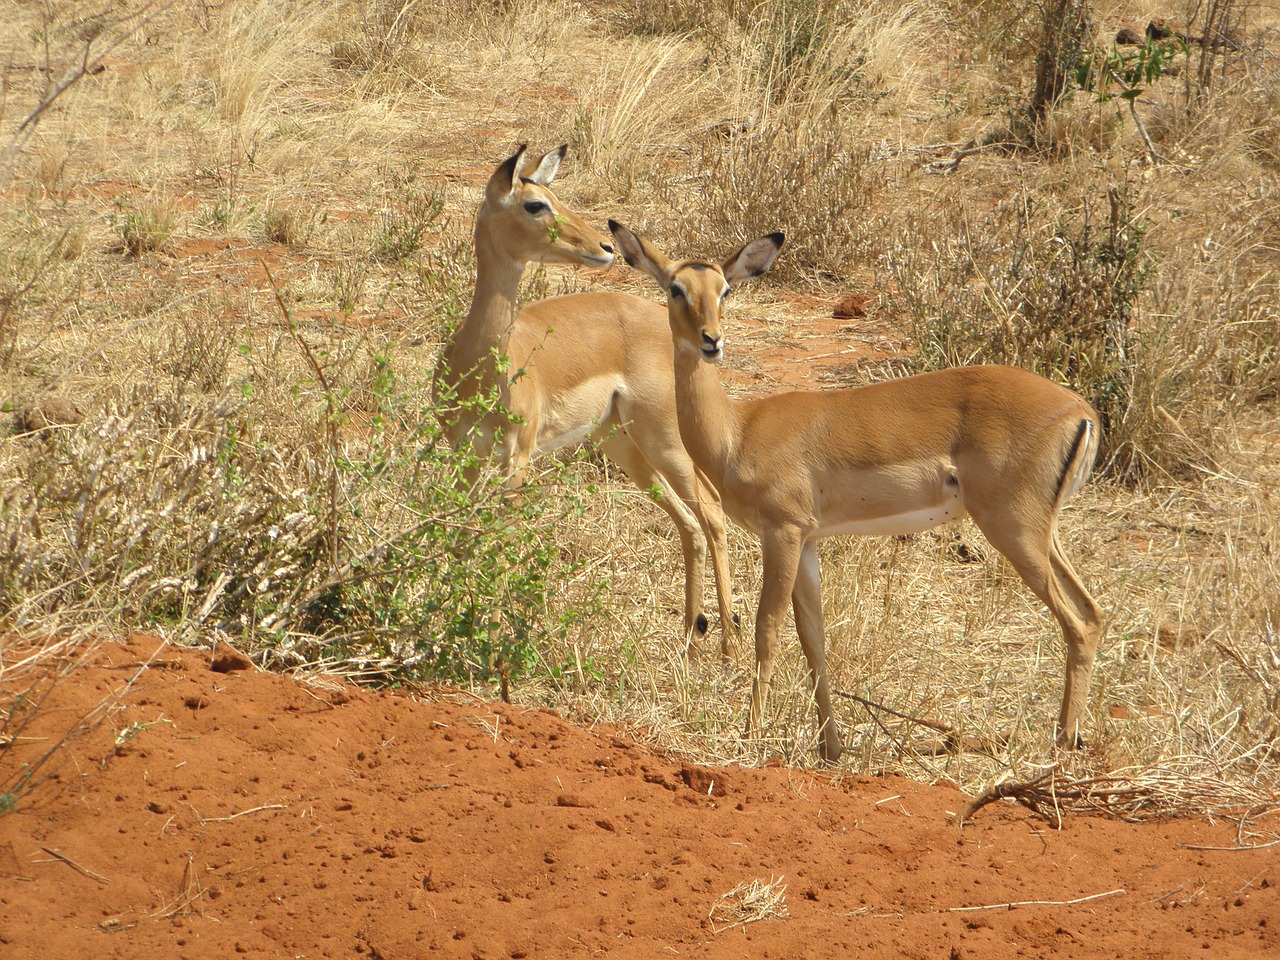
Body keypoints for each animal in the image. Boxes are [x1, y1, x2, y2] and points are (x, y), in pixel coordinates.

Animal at [435, 146, 737, 655]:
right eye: (536, 204)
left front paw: (488, 645)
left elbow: (502, 541)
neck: (481, 364)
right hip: (622, 445)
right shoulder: (464, 456)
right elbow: (465, 539)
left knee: (712, 511)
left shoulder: (517, 457)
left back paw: (728, 647)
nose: (604, 247)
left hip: (664, 439)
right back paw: (690, 638)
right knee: (689, 523)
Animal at [606, 221, 1100, 762]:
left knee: (1076, 622)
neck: (738, 430)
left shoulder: (782, 533)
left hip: (1013, 528)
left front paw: (751, 735)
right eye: (676, 289)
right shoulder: (808, 541)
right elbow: (814, 638)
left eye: (725, 290)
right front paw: (831, 747)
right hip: (1040, 533)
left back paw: (1063, 746)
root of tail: (1082, 411)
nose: (711, 340)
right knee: (1093, 614)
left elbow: (767, 629)